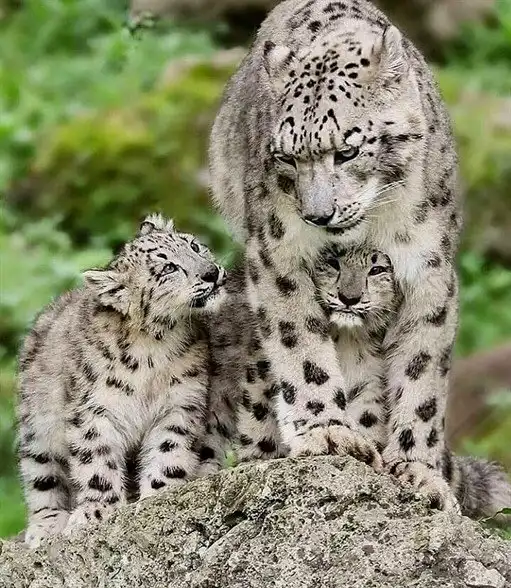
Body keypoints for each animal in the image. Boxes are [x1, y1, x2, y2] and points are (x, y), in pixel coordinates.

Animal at [17, 214, 227, 547]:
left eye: (194, 246)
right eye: (167, 268)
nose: (211, 272)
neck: (154, 349)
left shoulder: (180, 404)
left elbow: (168, 450)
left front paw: (159, 495)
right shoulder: (93, 411)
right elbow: (97, 461)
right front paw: (95, 511)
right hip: (37, 427)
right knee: (41, 475)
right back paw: (45, 527)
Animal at [210, 0, 462, 508]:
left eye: (347, 150)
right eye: (287, 157)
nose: (317, 214)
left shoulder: (430, 271)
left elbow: (423, 370)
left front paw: (417, 470)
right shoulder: (278, 252)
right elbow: (299, 341)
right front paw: (326, 431)